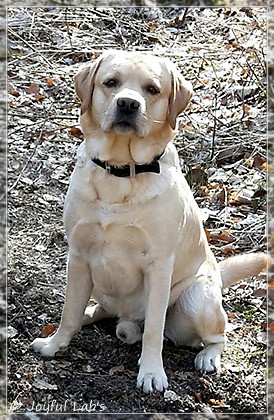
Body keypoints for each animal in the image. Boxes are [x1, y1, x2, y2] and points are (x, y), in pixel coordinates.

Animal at [32, 50, 268, 394]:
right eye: (111, 83)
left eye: (152, 89)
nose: (128, 104)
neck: (121, 172)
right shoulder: (77, 256)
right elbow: (68, 313)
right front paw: (55, 345)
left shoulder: (158, 266)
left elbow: (154, 330)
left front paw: (152, 372)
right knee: (94, 309)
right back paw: (91, 312)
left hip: (197, 301)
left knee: (216, 336)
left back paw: (208, 357)